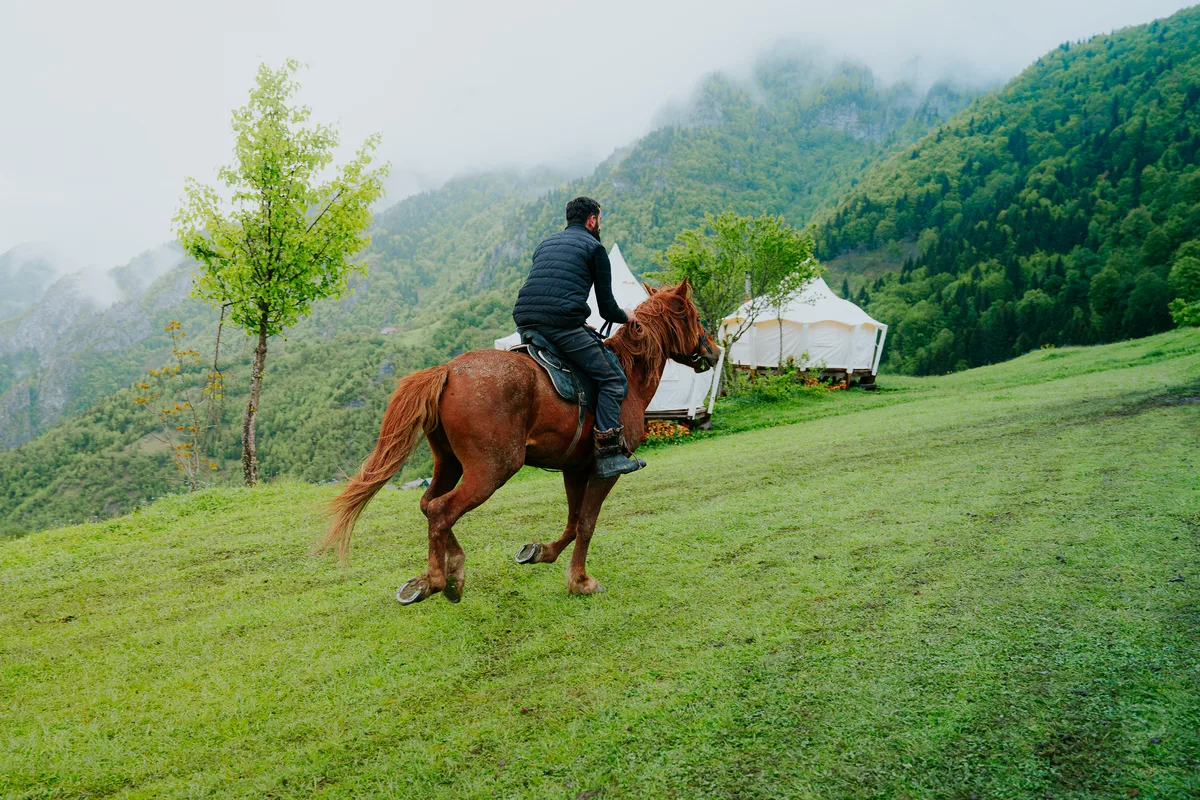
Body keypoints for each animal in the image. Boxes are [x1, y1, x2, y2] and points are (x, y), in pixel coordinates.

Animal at [321, 279, 720, 604]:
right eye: (696, 316)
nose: (714, 351)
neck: (628, 374)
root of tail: (447, 370)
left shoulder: (574, 468)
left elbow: (574, 520)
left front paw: (541, 552)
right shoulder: (605, 470)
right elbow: (587, 523)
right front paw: (581, 581)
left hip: (449, 463)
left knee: (427, 504)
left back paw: (453, 570)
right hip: (492, 469)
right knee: (441, 510)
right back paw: (437, 580)